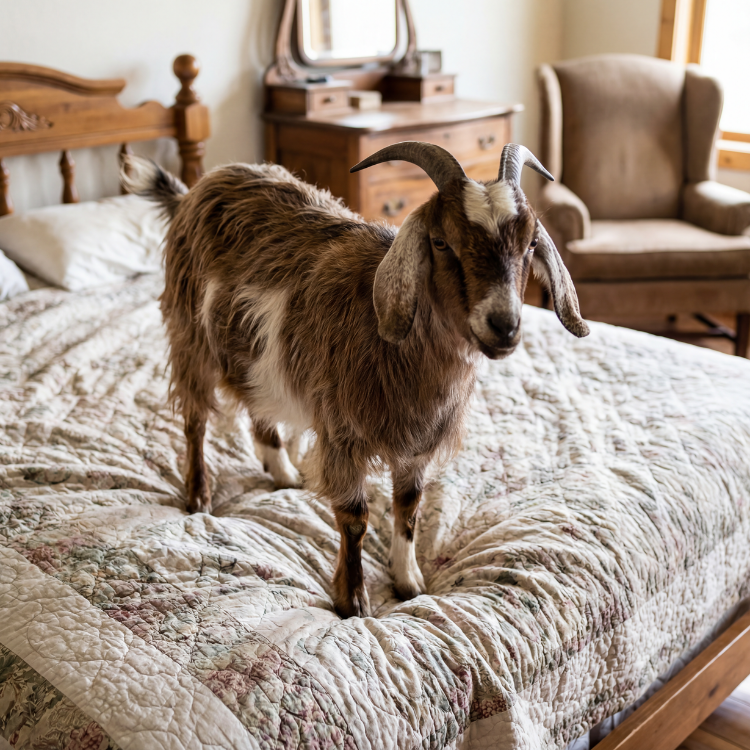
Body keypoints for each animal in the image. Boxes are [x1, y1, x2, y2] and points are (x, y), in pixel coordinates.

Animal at [124, 142, 589, 618]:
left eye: (531, 242)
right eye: (441, 242)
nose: (504, 325)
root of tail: (195, 190)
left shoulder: (416, 445)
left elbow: (409, 509)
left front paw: (409, 581)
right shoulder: (341, 433)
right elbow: (354, 518)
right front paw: (353, 600)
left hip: (254, 351)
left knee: (258, 403)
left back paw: (282, 472)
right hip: (189, 335)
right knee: (195, 418)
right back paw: (199, 494)